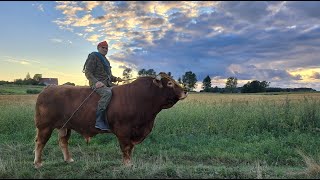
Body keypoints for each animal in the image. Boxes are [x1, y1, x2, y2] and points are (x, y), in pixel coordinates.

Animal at [33, 71, 188, 169]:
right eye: (169, 83)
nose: (185, 91)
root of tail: (48, 89)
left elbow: (130, 148)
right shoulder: (124, 131)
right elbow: (126, 147)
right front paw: (127, 164)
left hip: (65, 126)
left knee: (63, 142)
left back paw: (68, 159)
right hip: (45, 126)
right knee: (40, 143)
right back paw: (38, 163)